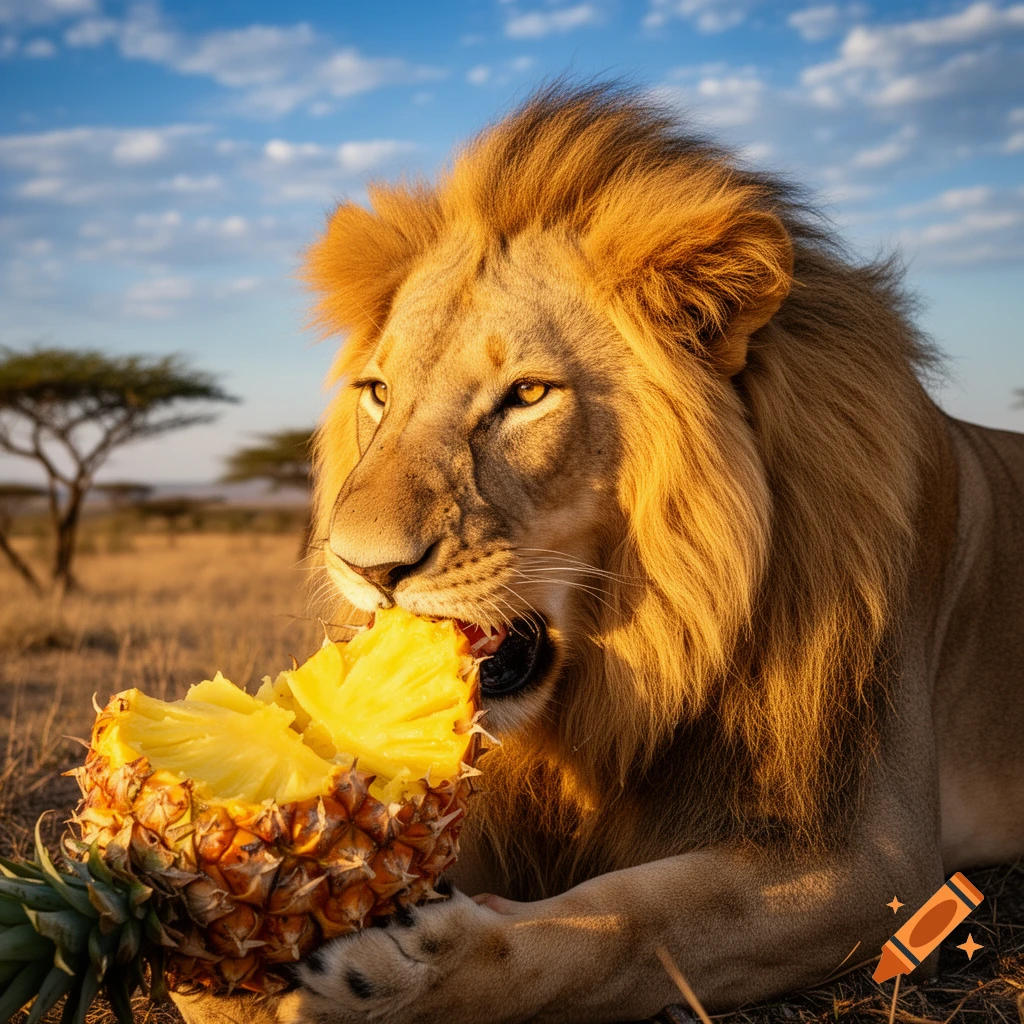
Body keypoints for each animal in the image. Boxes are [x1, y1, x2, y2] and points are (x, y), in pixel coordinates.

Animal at [174, 83, 1024, 1024]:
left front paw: (401, 977)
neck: (635, 667)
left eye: (528, 395)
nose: (365, 569)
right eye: (380, 393)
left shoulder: (879, 863)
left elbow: (639, 921)